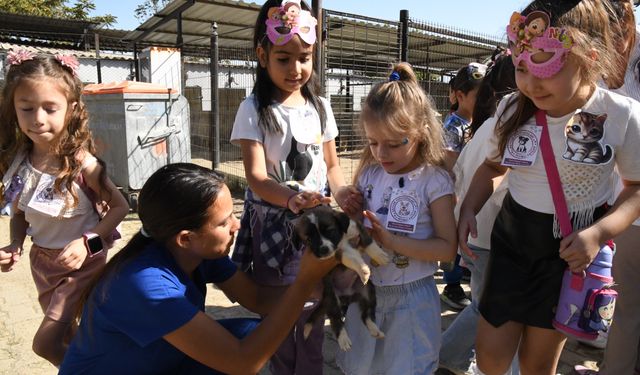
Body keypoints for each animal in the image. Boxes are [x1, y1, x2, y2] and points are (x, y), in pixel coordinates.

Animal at [294, 206, 390, 352]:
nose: (324, 250)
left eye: (330, 231)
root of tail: (348, 297)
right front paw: (363, 269)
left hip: (368, 291)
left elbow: (368, 243)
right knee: (336, 321)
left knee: (366, 314)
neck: (342, 237)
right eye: (309, 240)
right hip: (332, 299)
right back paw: (343, 340)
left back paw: (375, 330)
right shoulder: (338, 253)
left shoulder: (357, 228)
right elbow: (351, 258)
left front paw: (380, 256)